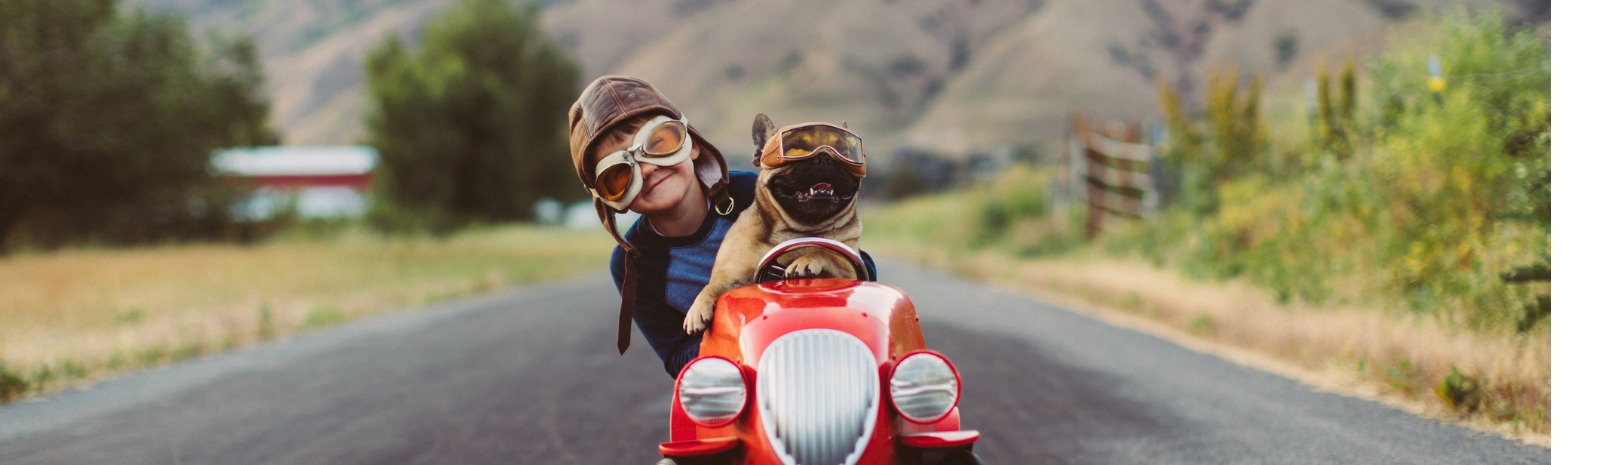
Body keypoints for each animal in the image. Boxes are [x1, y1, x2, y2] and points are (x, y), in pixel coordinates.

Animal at [681, 115, 870, 335]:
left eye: (844, 153)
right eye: (796, 150)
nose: (825, 158)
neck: (797, 230)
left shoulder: (850, 269)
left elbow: (825, 252)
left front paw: (805, 261)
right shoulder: (731, 277)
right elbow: (711, 286)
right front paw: (697, 309)